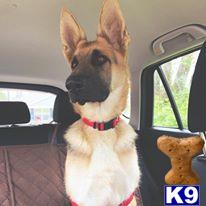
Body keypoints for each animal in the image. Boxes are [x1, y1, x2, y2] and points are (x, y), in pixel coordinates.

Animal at [59, 0, 140, 206]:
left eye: (100, 59)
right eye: (74, 64)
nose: (70, 85)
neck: (102, 127)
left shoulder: (127, 196)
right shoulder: (84, 198)